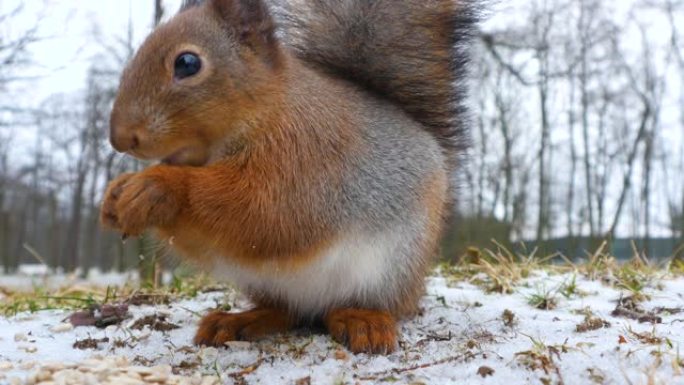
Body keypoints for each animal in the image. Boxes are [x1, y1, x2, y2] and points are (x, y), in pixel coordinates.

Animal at [100, 0, 476, 354]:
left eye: (187, 63)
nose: (120, 138)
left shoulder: (304, 159)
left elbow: (262, 212)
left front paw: (157, 187)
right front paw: (115, 196)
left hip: (392, 267)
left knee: (371, 305)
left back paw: (361, 319)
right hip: (266, 283)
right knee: (285, 311)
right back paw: (240, 321)